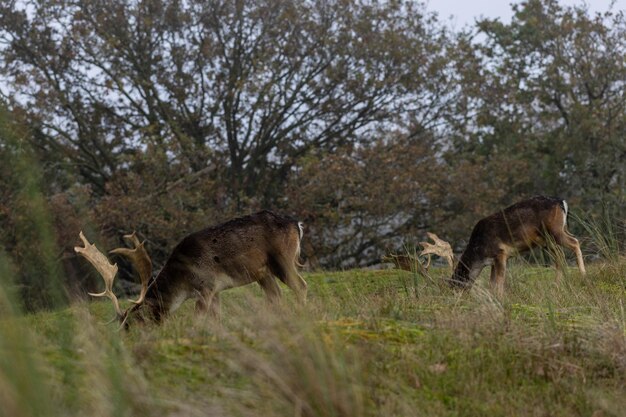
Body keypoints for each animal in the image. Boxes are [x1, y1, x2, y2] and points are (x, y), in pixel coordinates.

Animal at [74, 211, 306, 324]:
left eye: (133, 323)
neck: (183, 280)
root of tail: (297, 224)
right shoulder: (216, 290)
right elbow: (216, 318)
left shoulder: (206, 286)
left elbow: (198, 318)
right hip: (262, 272)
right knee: (275, 295)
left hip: (282, 259)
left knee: (301, 286)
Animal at [416, 196, 584, 296]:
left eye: (452, 289)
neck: (478, 250)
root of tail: (561, 202)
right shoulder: (491, 262)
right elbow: (492, 283)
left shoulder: (501, 253)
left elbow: (500, 280)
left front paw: (501, 297)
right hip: (549, 239)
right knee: (561, 255)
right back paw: (557, 285)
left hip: (553, 232)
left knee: (574, 243)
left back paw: (582, 275)